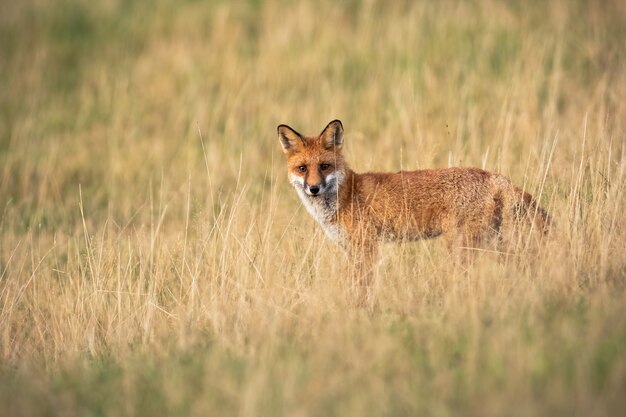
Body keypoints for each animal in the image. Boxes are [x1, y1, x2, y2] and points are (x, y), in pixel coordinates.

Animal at [276, 118, 544, 298]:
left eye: (324, 166)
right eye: (302, 168)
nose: (313, 188)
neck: (346, 197)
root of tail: (493, 176)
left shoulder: (367, 247)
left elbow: (363, 288)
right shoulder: (352, 250)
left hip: (463, 247)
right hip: (497, 243)